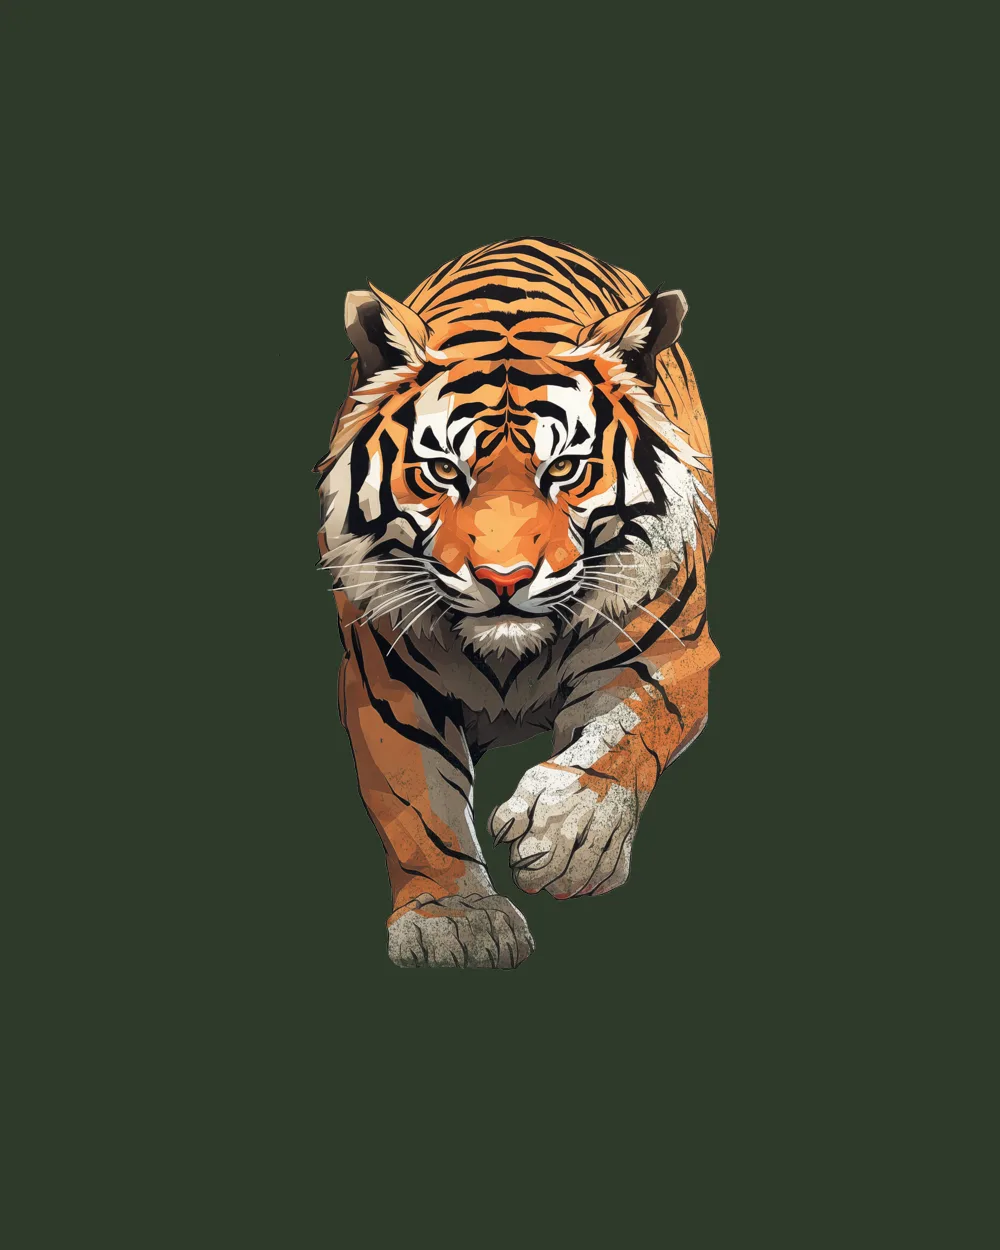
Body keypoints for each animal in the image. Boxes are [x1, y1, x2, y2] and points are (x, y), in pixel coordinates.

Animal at [316, 237, 719, 968]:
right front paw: (454, 921)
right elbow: (420, 806)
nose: (505, 578)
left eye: (564, 470)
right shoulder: (384, 682)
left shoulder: (677, 654)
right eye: (443, 471)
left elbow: (627, 729)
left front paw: (569, 836)